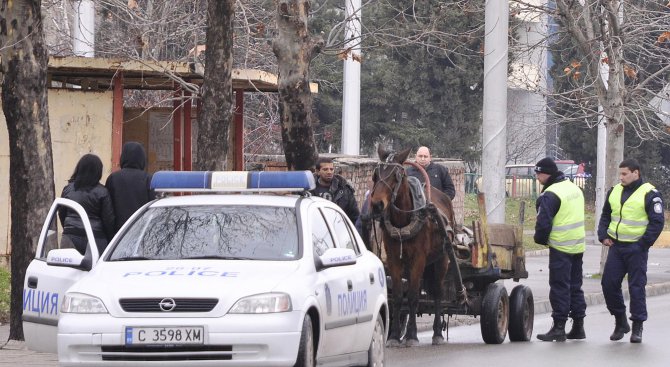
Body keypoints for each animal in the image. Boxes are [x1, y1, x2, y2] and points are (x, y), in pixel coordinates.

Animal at [370, 147, 460, 348]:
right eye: (376, 175)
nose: (376, 204)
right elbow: (398, 296)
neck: (403, 220)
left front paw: (412, 336)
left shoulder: (418, 258)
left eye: (396, 176)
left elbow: (412, 296)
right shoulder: (394, 259)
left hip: (441, 258)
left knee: (437, 293)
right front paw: (394, 337)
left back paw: (437, 333)